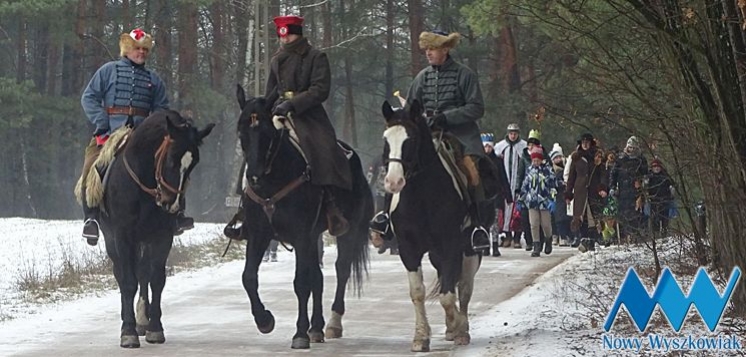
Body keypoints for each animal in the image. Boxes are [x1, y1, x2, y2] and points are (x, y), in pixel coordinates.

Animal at [99, 110, 212, 346]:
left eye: (194, 163)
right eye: (171, 158)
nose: (173, 203)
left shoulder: (162, 236)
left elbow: (156, 279)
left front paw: (154, 328)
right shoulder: (123, 236)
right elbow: (128, 281)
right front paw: (128, 331)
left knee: (143, 273)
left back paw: (142, 319)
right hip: (112, 240)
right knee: (122, 275)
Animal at [232, 84, 372, 348]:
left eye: (266, 131)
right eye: (241, 129)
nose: (254, 176)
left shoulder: (300, 235)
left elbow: (301, 283)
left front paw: (299, 333)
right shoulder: (260, 235)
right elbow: (248, 277)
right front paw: (264, 320)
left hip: (346, 231)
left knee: (341, 269)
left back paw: (332, 324)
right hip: (312, 237)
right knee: (318, 276)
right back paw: (316, 328)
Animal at [380, 100, 480, 350]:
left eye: (411, 139)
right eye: (386, 139)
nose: (393, 182)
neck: (422, 196)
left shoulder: (452, 245)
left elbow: (448, 295)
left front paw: (457, 326)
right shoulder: (408, 249)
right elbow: (418, 292)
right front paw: (421, 337)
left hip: (469, 250)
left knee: (464, 288)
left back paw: (461, 329)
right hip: (436, 254)